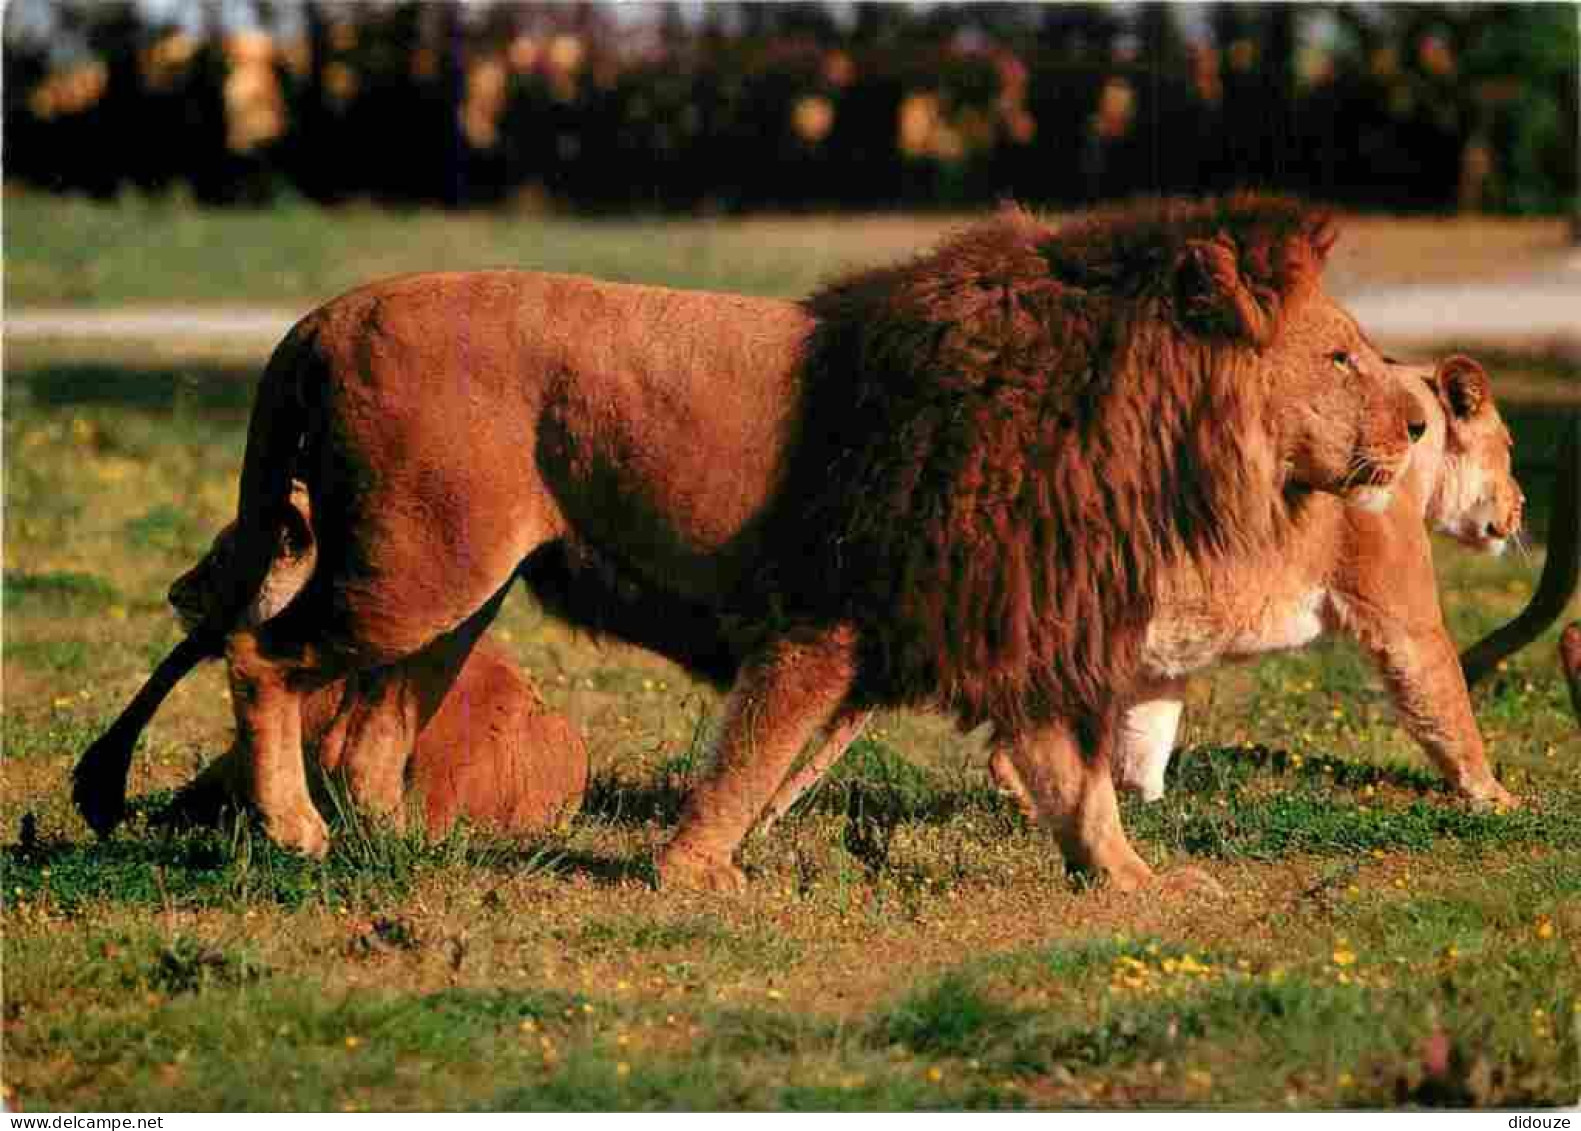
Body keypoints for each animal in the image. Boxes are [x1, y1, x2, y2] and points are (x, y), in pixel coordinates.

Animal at [80, 199, 1429, 898]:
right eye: (1342, 356)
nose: (1419, 424)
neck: (1133, 417)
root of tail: (317, 316)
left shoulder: (985, 617)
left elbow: (1075, 789)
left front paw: (1139, 887)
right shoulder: (830, 617)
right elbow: (755, 754)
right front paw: (692, 874)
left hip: (455, 586)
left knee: (367, 732)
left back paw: (404, 850)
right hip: (414, 568)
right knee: (261, 659)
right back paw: (298, 837)